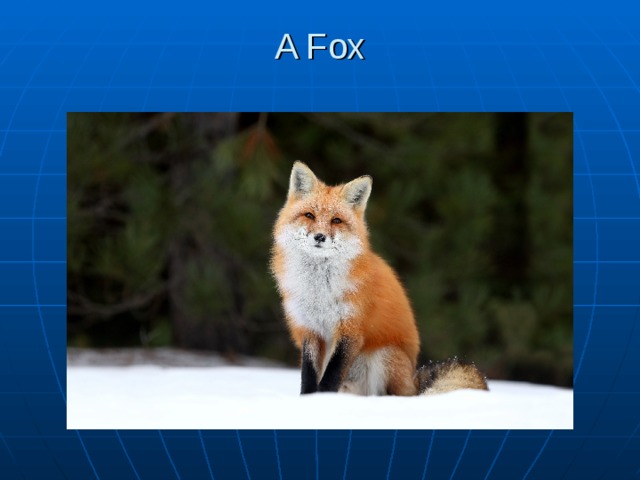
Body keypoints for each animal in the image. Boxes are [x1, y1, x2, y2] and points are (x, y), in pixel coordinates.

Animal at [271, 161, 488, 396]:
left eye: (336, 220)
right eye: (309, 215)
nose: (319, 237)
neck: (320, 290)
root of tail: (413, 381)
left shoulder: (350, 329)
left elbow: (331, 376)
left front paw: (325, 399)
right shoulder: (309, 329)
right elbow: (309, 376)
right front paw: (308, 400)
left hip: (384, 356)